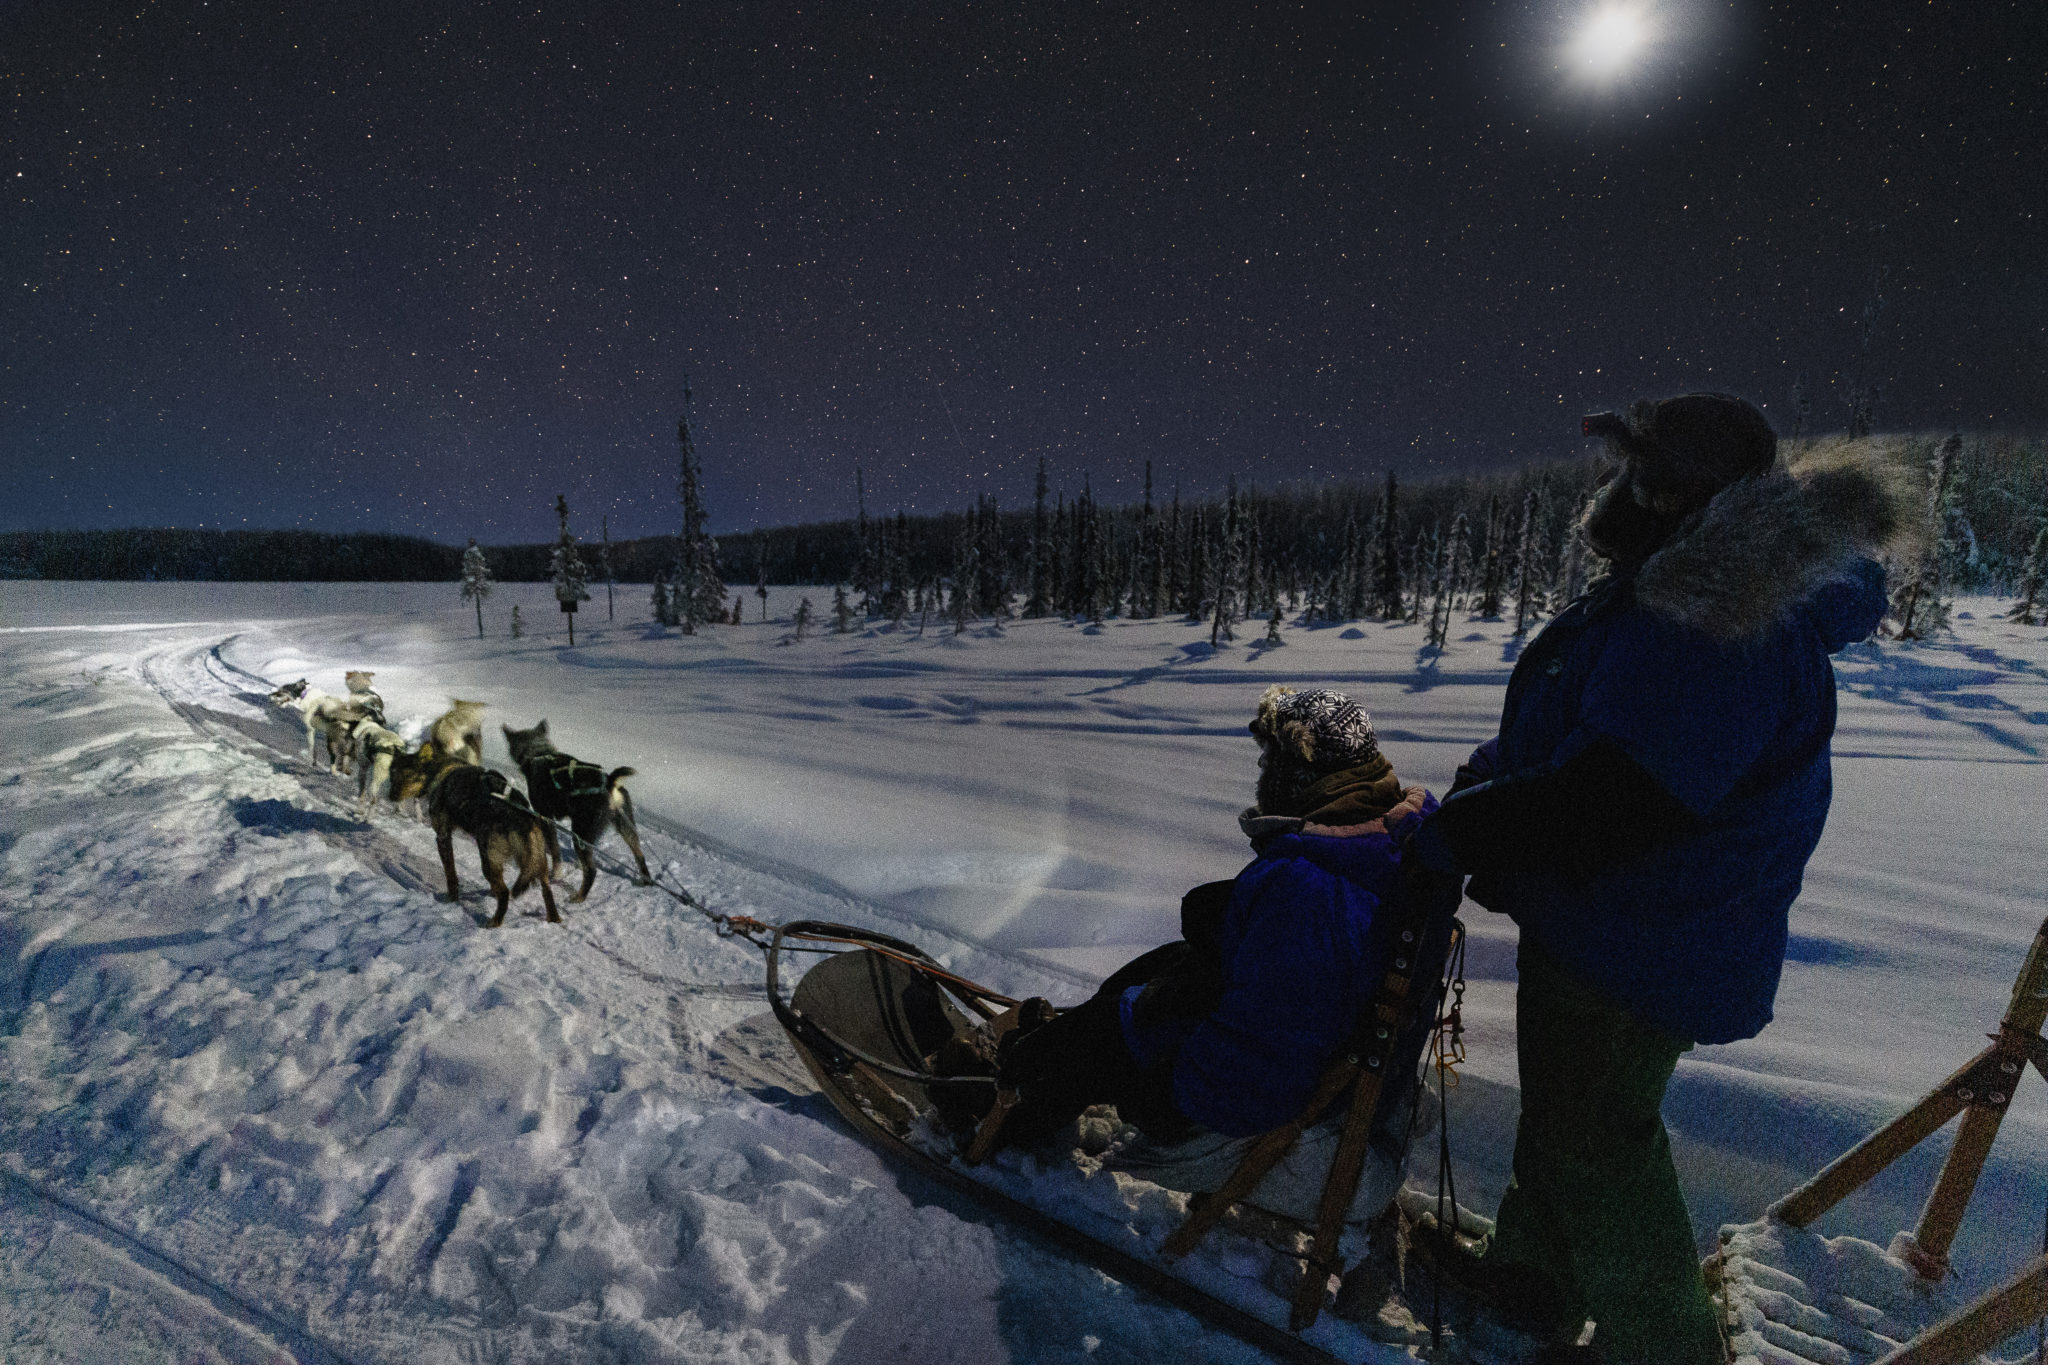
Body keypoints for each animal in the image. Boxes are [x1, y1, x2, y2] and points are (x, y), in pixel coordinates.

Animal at [499, 720, 651, 900]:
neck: (538, 753)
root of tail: (610, 784)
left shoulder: (546, 817)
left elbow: (555, 851)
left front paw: (557, 873)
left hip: (580, 832)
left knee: (591, 871)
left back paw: (579, 897)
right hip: (625, 828)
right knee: (640, 856)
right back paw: (645, 881)